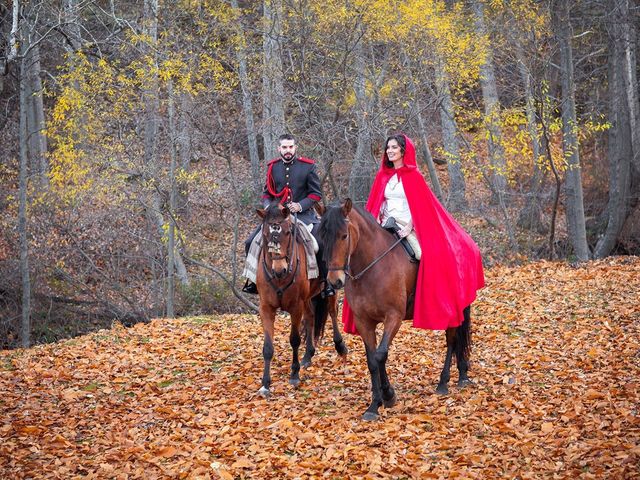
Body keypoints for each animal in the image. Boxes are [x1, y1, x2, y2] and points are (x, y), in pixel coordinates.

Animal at [255, 201, 348, 396]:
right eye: (266, 234)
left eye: (288, 232)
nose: (279, 269)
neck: (279, 278)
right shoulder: (266, 308)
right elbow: (267, 347)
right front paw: (265, 384)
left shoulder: (295, 307)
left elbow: (294, 339)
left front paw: (294, 375)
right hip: (308, 298)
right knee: (311, 317)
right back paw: (308, 356)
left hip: (328, 289)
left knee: (332, 312)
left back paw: (340, 347)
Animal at [318, 199, 472, 420]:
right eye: (322, 236)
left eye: (344, 235)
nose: (334, 281)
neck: (372, 267)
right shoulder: (364, 322)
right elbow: (372, 360)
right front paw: (375, 404)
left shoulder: (394, 317)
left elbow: (381, 354)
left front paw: (388, 395)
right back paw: (461, 373)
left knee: (452, 339)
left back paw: (444, 382)